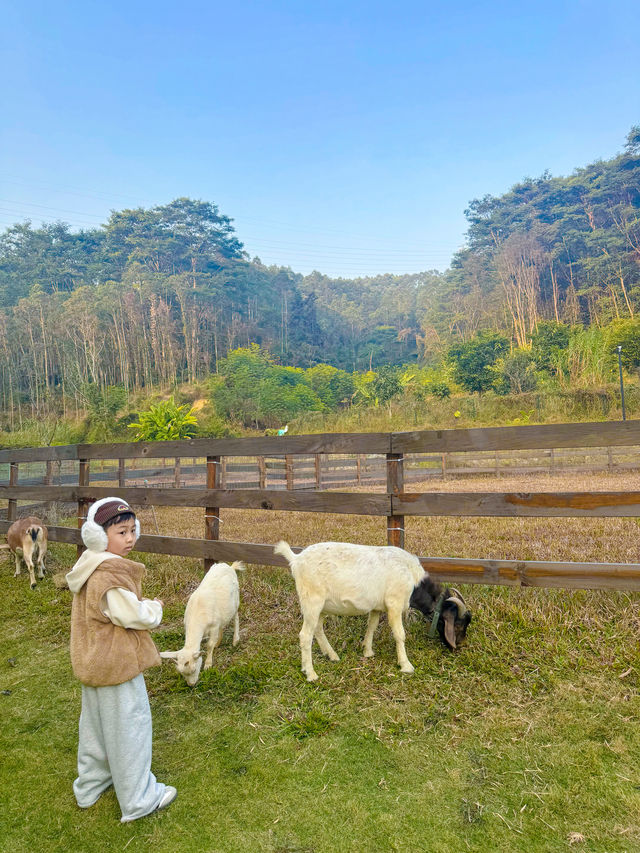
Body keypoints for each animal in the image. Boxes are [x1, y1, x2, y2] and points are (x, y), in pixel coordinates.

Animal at [274, 544, 470, 684]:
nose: (459, 645)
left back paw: (332, 655)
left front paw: (368, 651)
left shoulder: (377, 607)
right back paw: (311, 673)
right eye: (458, 624)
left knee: (318, 629)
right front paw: (406, 665)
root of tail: (296, 559)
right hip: (312, 601)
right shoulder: (394, 604)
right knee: (305, 635)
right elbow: (400, 634)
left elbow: (372, 626)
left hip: (321, 606)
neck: (412, 577)